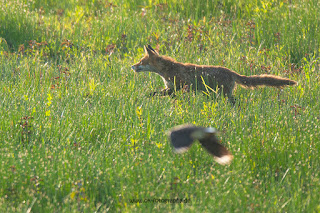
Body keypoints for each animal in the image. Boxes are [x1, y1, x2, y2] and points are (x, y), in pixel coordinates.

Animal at [131, 44, 298, 103]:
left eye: (141, 61)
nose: (132, 66)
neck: (168, 70)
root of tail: (232, 72)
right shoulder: (171, 89)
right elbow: (156, 94)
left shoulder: (179, 87)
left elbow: (157, 94)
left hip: (223, 94)